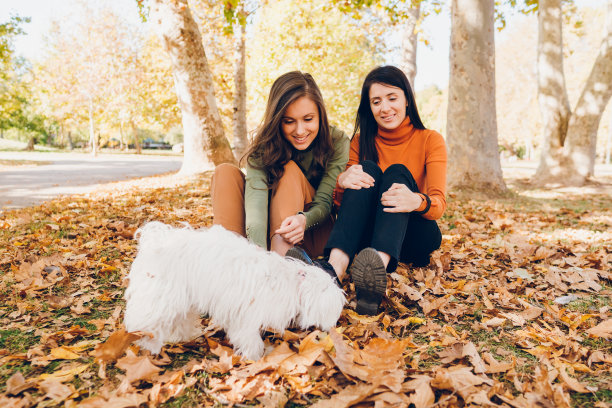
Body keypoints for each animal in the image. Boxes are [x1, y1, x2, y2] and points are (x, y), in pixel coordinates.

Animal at [122, 223, 346, 360]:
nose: (333, 327)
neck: (293, 283)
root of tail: (155, 240)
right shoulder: (248, 316)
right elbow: (248, 337)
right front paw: (255, 356)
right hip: (160, 296)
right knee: (145, 321)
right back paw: (148, 345)